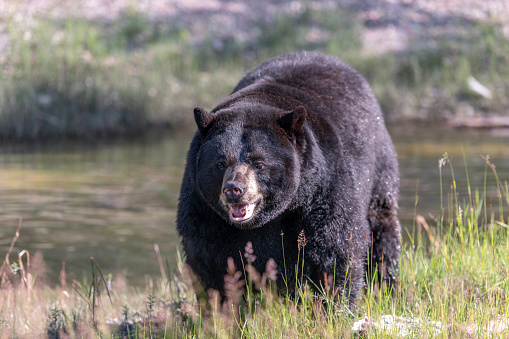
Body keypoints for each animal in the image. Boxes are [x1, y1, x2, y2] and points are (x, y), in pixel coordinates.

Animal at [177, 51, 398, 306]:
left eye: (259, 163)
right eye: (221, 163)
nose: (234, 189)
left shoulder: (323, 191)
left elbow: (337, 250)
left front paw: (336, 306)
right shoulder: (204, 210)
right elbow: (209, 262)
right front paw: (221, 309)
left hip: (379, 168)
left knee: (382, 230)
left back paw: (387, 284)